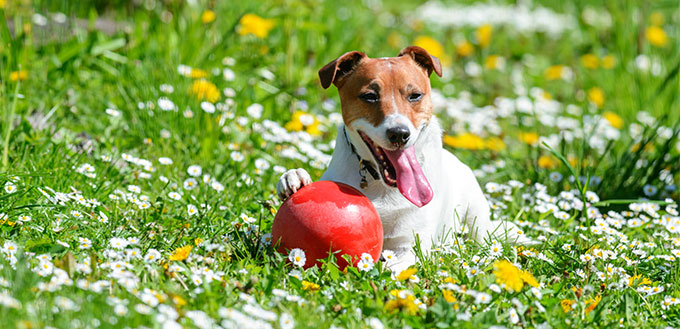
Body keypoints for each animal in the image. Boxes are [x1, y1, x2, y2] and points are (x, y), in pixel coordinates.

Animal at [274, 46, 524, 272]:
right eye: (370, 96)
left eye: (415, 95)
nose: (399, 134)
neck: (381, 184)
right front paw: (295, 177)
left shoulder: (410, 245)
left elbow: (393, 265)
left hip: (476, 218)